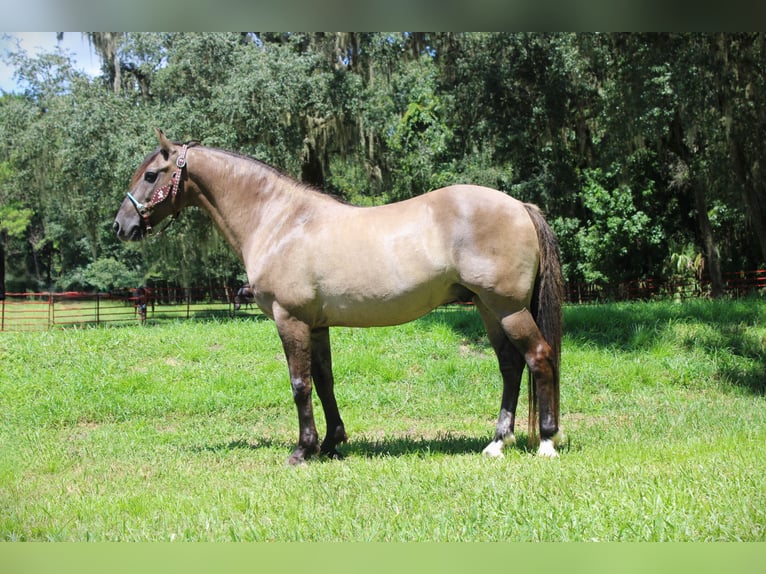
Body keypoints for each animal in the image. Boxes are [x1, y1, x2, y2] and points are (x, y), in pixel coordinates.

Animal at [113, 128, 565, 465]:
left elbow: (299, 384)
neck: (280, 221)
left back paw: (545, 442)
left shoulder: (290, 319)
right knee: (510, 366)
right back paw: (497, 442)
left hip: (507, 307)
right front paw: (331, 443)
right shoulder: (316, 325)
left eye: (151, 175)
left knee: (538, 357)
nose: (121, 225)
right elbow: (324, 381)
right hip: (489, 308)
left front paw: (302, 450)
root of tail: (520, 206)